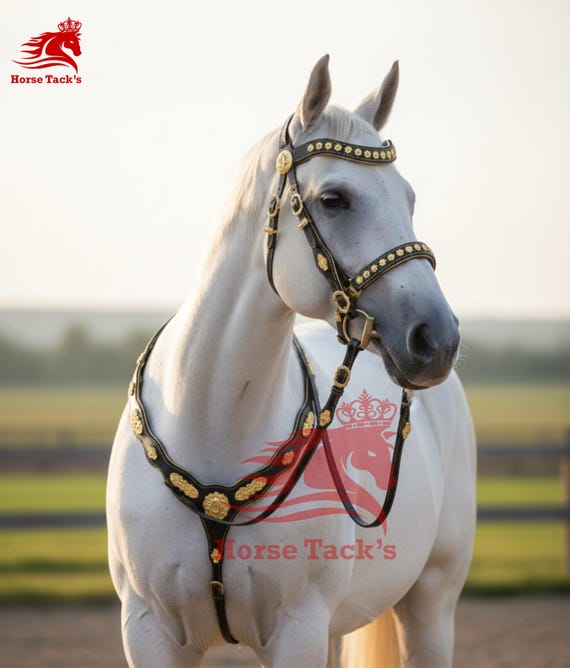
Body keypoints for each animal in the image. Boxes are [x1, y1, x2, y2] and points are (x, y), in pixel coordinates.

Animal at [107, 55, 476, 667]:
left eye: (408, 198)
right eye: (334, 199)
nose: (437, 339)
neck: (210, 428)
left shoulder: (297, 630)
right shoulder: (148, 630)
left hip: (431, 604)